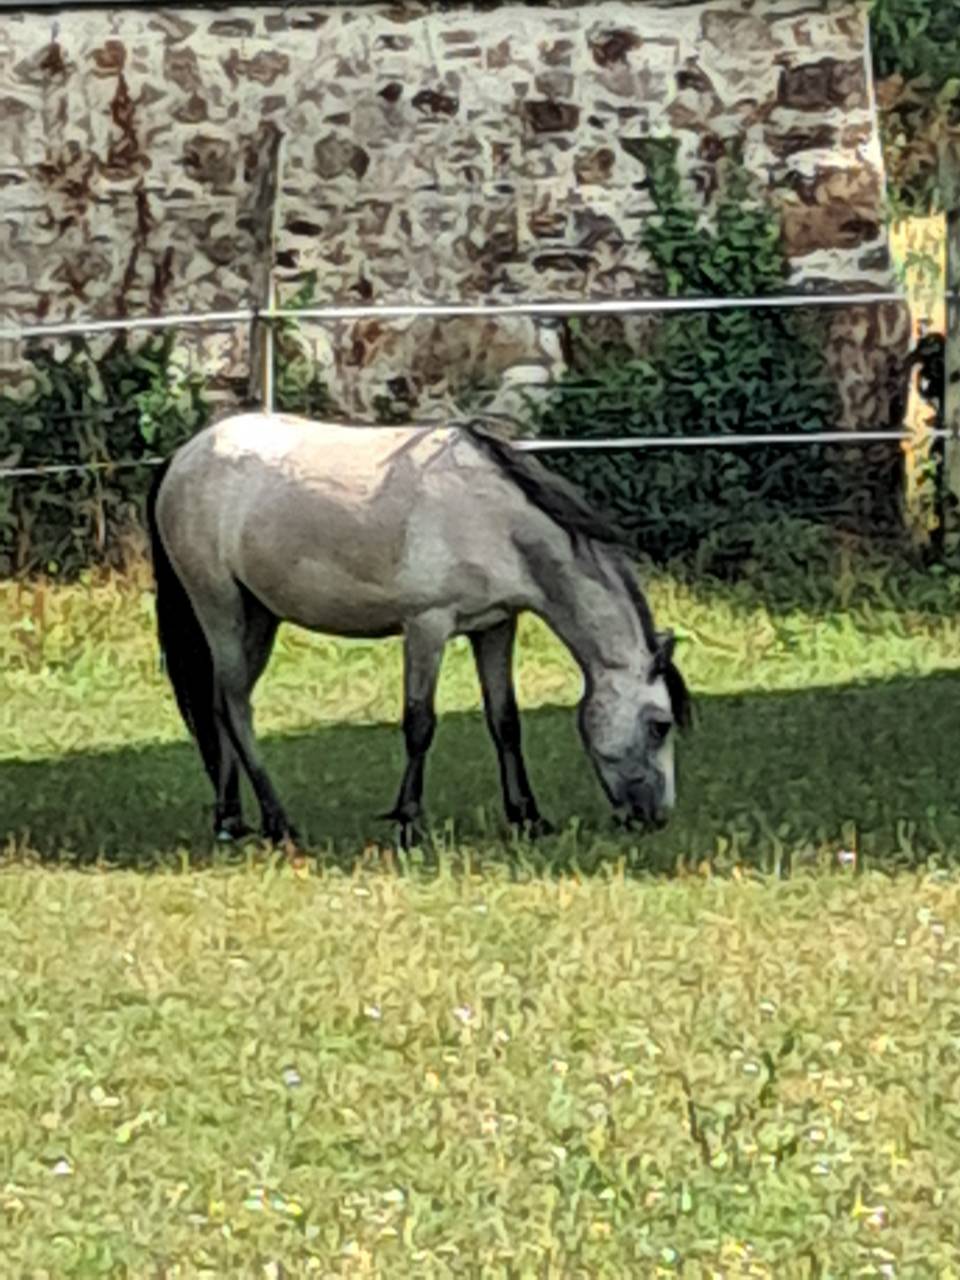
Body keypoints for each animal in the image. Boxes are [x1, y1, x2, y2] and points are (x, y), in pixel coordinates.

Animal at [145, 412, 691, 847]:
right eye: (660, 725)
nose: (656, 817)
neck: (495, 516)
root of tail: (183, 457)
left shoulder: (496, 627)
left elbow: (505, 722)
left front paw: (527, 817)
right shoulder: (428, 626)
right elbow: (419, 723)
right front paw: (409, 820)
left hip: (259, 618)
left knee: (218, 709)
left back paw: (231, 820)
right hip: (219, 607)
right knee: (233, 706)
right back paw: (278, 822)